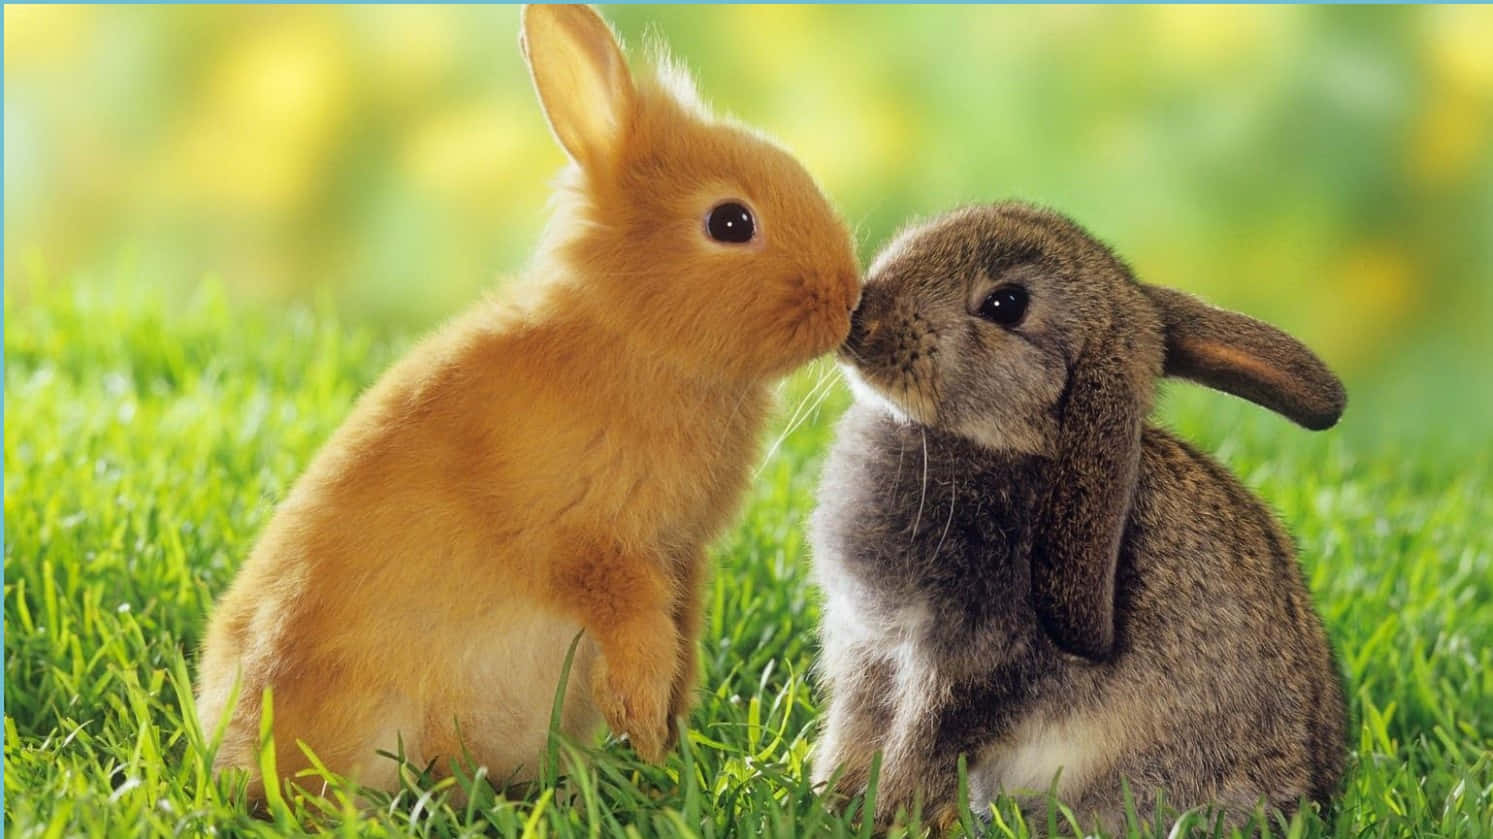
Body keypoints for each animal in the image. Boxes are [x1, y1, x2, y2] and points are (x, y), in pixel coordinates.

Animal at [196, 4, 861, 804]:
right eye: (730, 222)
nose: (848, 299)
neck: (631, 337)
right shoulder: (595, 547)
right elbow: (637, 635)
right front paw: (645, 733)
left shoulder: (681, 556)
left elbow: (681, 639)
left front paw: (666, 743)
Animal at [809, 202, 1347, 832]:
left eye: (1006, 304)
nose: (860, 321)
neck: (1013, 444)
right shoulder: (867, 650)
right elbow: (855, 734)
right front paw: (829, 801)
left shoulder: (966, 664)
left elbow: (920, 747)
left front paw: (881, 816)